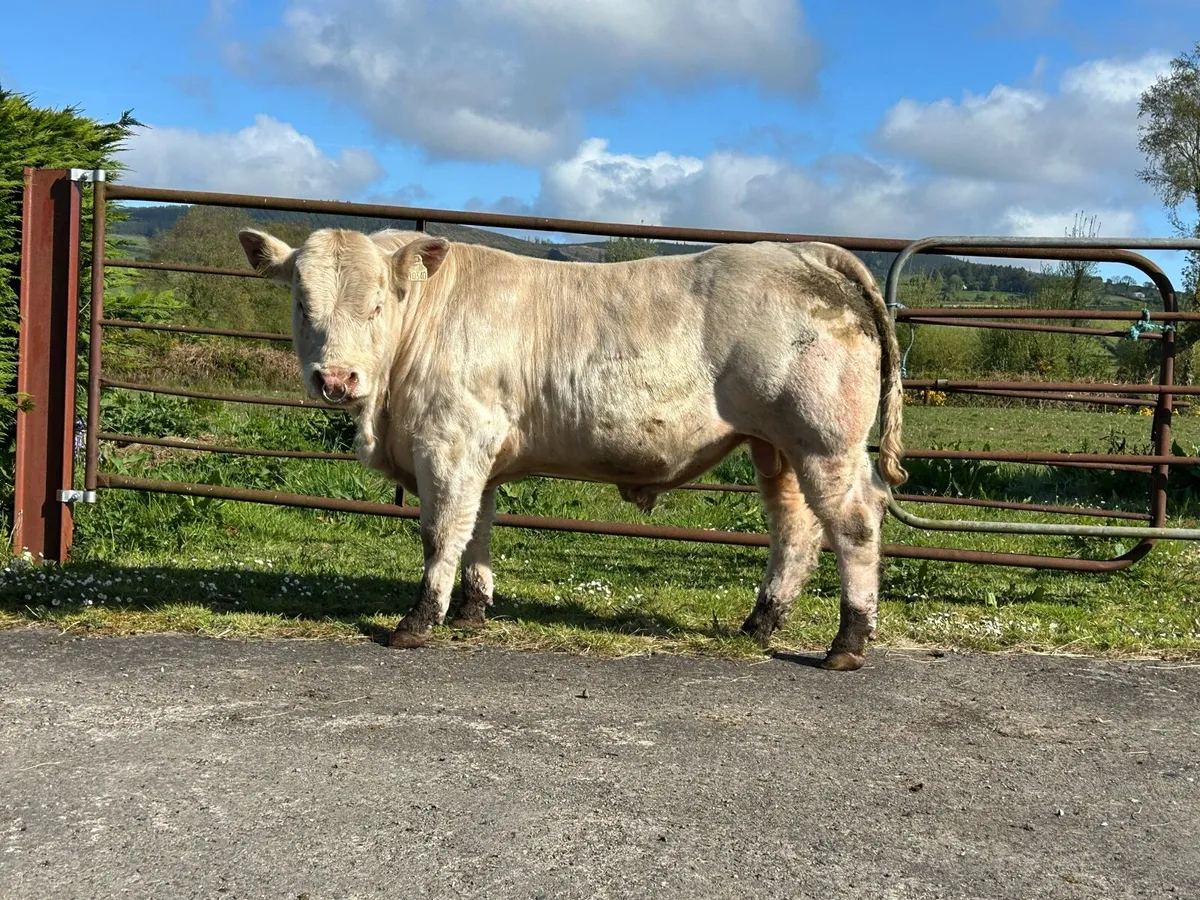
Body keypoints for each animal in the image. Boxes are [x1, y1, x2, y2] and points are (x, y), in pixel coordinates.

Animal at [238, 227, 906, 671]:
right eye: (302, 304)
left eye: (377, 305)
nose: (336, 379)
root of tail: (803, 250)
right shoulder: (481, 454)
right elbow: (478, 527)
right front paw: (472, 611)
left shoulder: (451, 443)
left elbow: (440, 531)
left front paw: (419, 621)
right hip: (775, 447)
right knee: (794, 528)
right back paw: (760, 623)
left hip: (823, 438)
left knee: (854, 522)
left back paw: (847, 643)